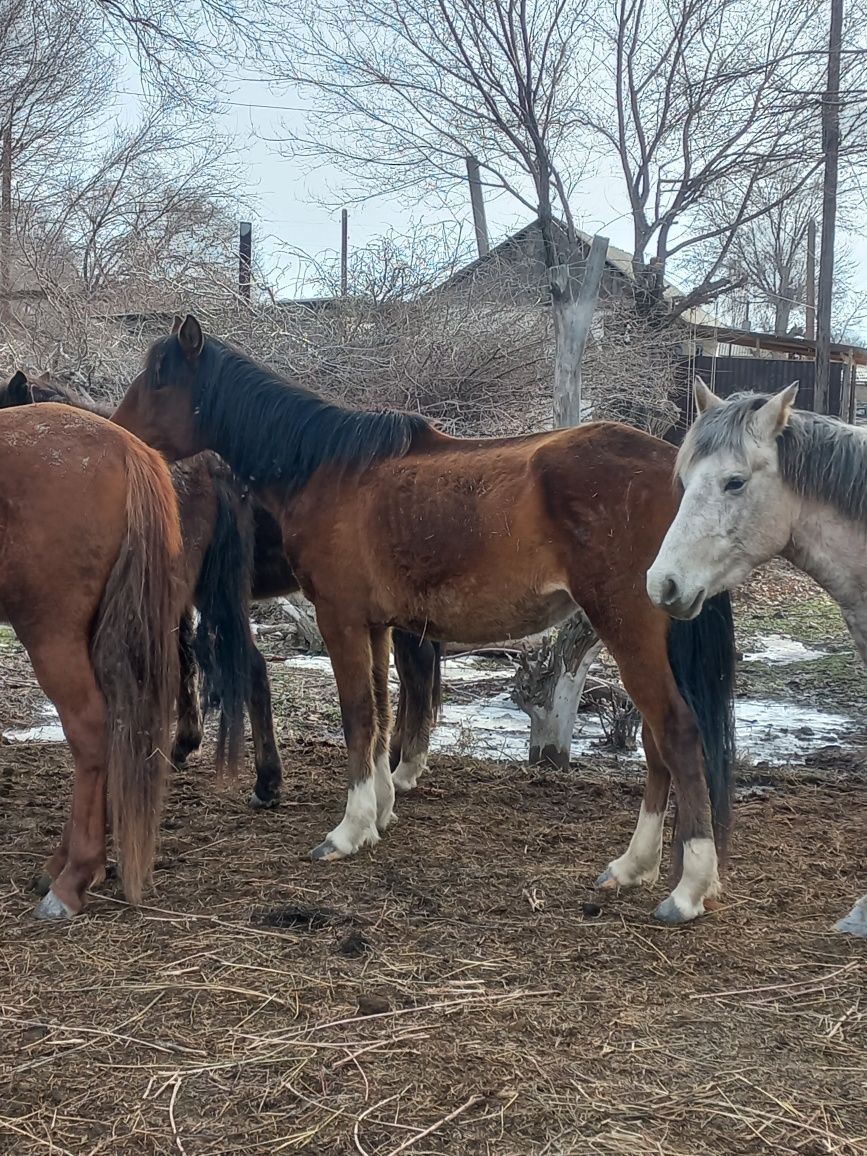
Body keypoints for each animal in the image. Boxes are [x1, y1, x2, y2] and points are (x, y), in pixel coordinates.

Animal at [112, 319, 739, 929]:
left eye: (159, 378)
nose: (117, 435)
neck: (326, 469)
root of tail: (673, 468)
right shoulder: (376, 624)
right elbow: (383, 712)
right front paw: (380, 812)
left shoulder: (339, 618)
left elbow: (359, 717)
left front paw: (348, 830)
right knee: (657, 743)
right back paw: (634, 866)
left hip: (627, 629)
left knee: (678, 734)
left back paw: (688, 888)